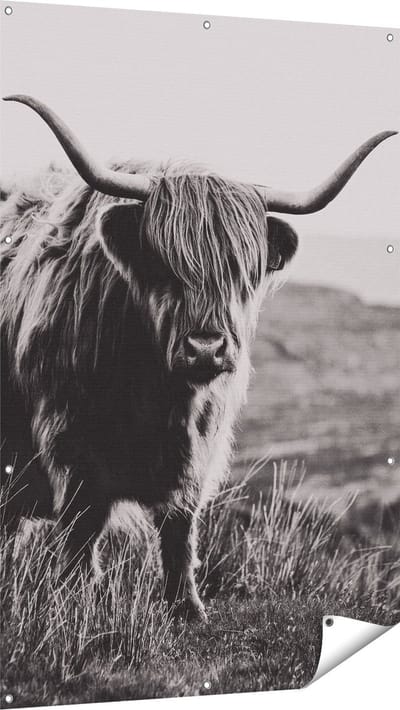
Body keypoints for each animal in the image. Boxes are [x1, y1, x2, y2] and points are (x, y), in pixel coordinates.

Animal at [0, 95, 396, 620]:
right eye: (163, 265)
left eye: (242, 271)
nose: (206, 347)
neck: (157, 393)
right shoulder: (69, 440)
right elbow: (83, 527)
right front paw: (78, 600)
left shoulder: (200, 447)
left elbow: (179, 527)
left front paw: (186, 607)